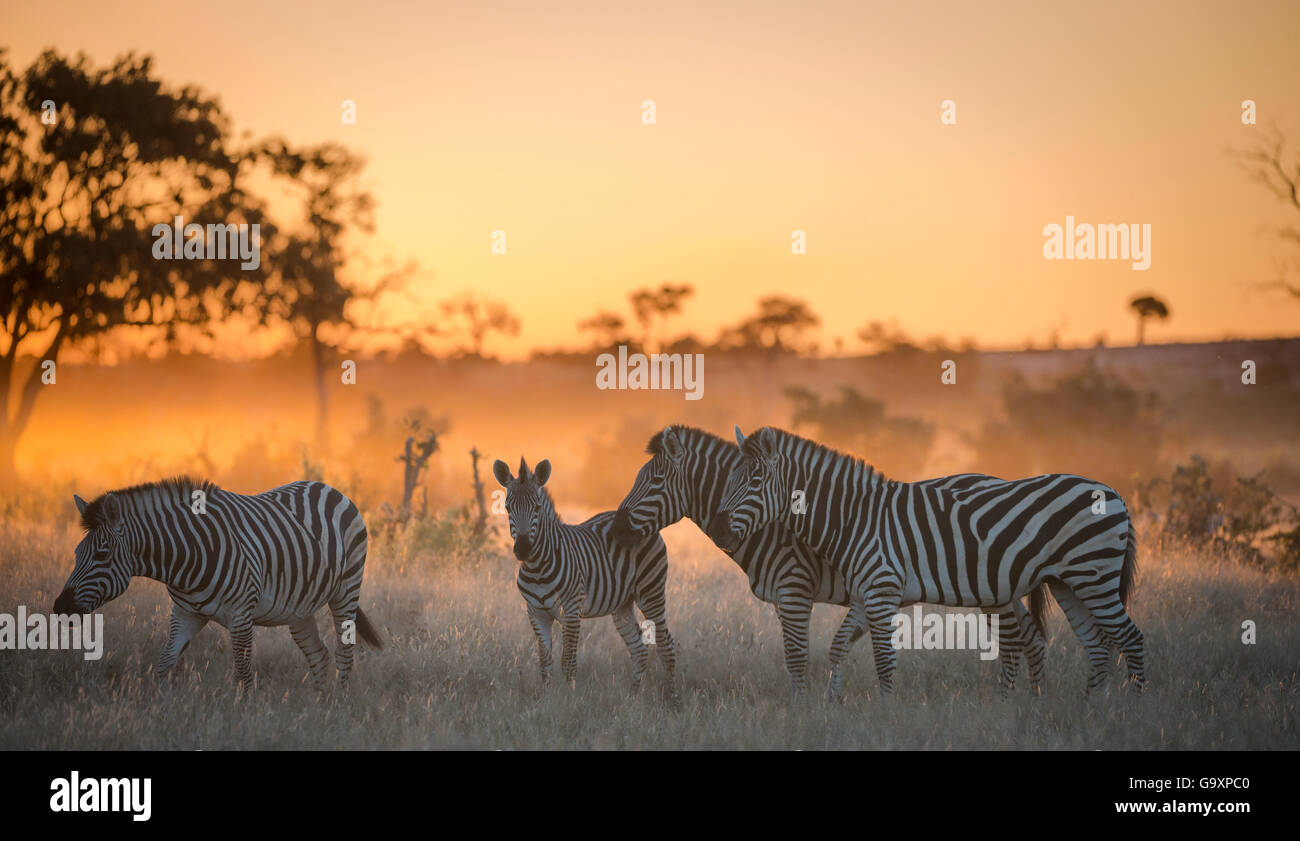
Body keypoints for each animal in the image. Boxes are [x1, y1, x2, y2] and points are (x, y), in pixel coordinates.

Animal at [55, 478, 379, 696]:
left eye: (101, 555)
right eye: (76, 554)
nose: (60, 608)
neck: (183, 557)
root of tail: (327, 486)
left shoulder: (241, 614)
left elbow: (243, 672)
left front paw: (245, 716)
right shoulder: (185, 614)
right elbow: (164, 663)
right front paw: (162, 707)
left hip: (346, 589)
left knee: (344, 651)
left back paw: (339, 705)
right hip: (299, 607)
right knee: (318, 654)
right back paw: (319, 705)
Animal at [493, 457, 681, 701]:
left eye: (537, 508)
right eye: (507, 508)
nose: (523, 549)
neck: (537, 568)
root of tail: (639, 523)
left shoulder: (572, 609)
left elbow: (568, 662)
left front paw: (568, 700)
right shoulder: (535, 612)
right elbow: (545, 662)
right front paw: (547, 699)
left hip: (651, 593)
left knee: (666, 645)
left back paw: (673, 699)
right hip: (622, 604)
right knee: (638, 648)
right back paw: (633, 697)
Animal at [613, 423, 1050, 701]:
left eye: (653, 481)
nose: (616, 526)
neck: (768, 525)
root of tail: (996, 479)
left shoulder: (794, 590)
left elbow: (796, 656)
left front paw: (801, 710)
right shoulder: (785, 600)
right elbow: (805, 654)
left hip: (993, 589)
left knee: (1016, 639)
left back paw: (1014, 699)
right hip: (1003, 587)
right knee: (1032, 636)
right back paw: (1034, 698)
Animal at [707, 428, 1144, 696]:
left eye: (756, 481)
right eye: (728, 479)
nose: (718, 530)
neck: (854, 518)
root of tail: (1115, 493)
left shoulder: (881, 589)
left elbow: (884, 661)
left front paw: (885, 716)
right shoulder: (867, 592)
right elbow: (842, 646)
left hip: (1094, 576)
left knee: (1130, 639)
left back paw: (1130, 708)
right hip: (1069, 582)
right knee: (1098, 647)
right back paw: (1089, 709)